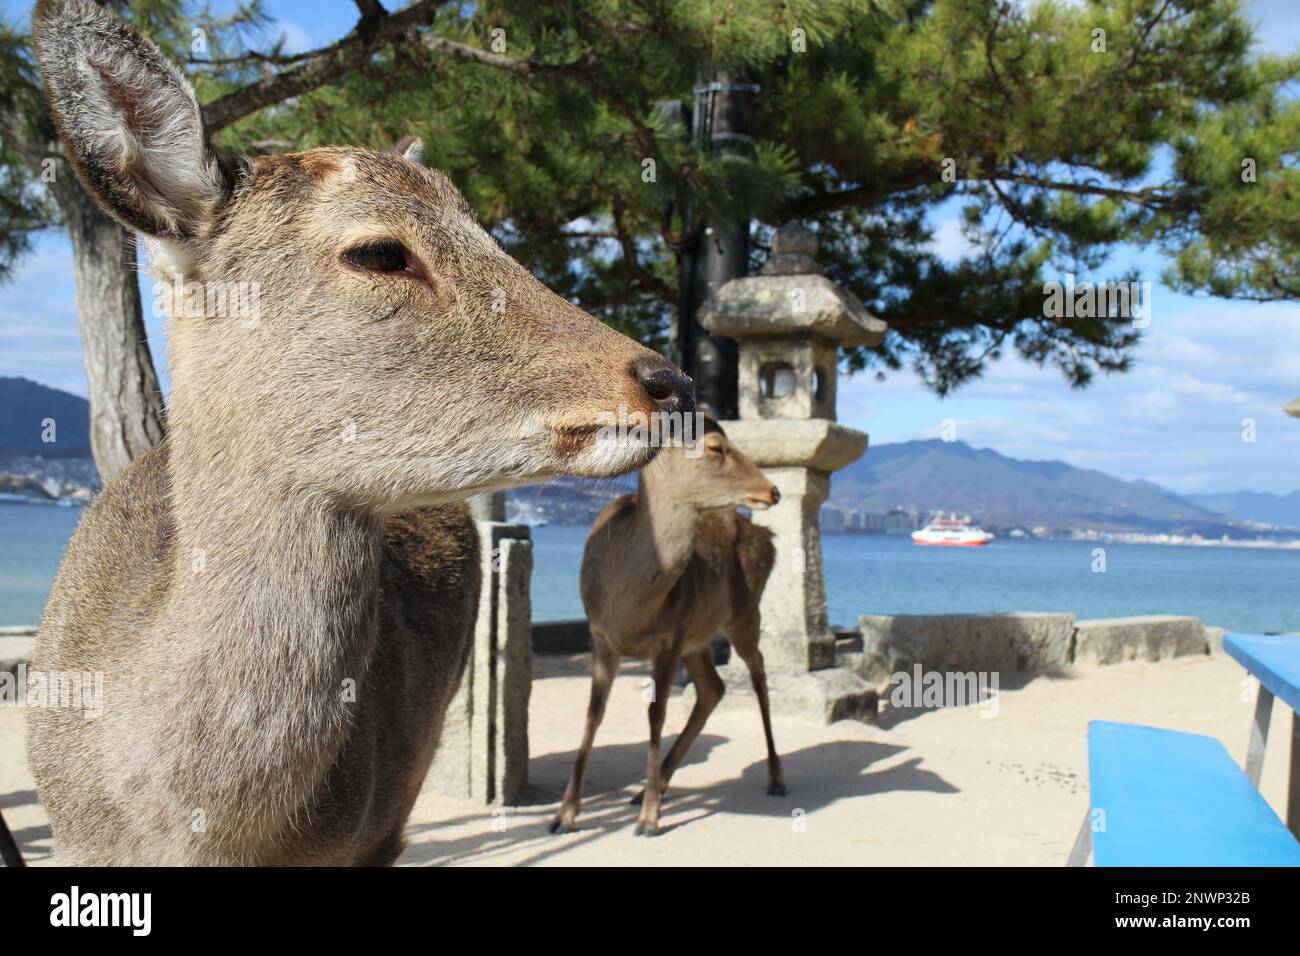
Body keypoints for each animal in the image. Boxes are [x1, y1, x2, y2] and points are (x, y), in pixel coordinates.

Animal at [548, 418, 780, 837]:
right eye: (716, 447)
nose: (773, 490)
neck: (629, 610)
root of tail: (767, 536)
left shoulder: (669, 638)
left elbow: (656, 715)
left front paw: (649, 819)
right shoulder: (601, 636)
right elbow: (592, 714)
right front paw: (564, 815)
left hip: (744, 616)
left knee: (758, 677)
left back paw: (775, 777)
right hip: (698, 638)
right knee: (713, 689)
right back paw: (652, 785)